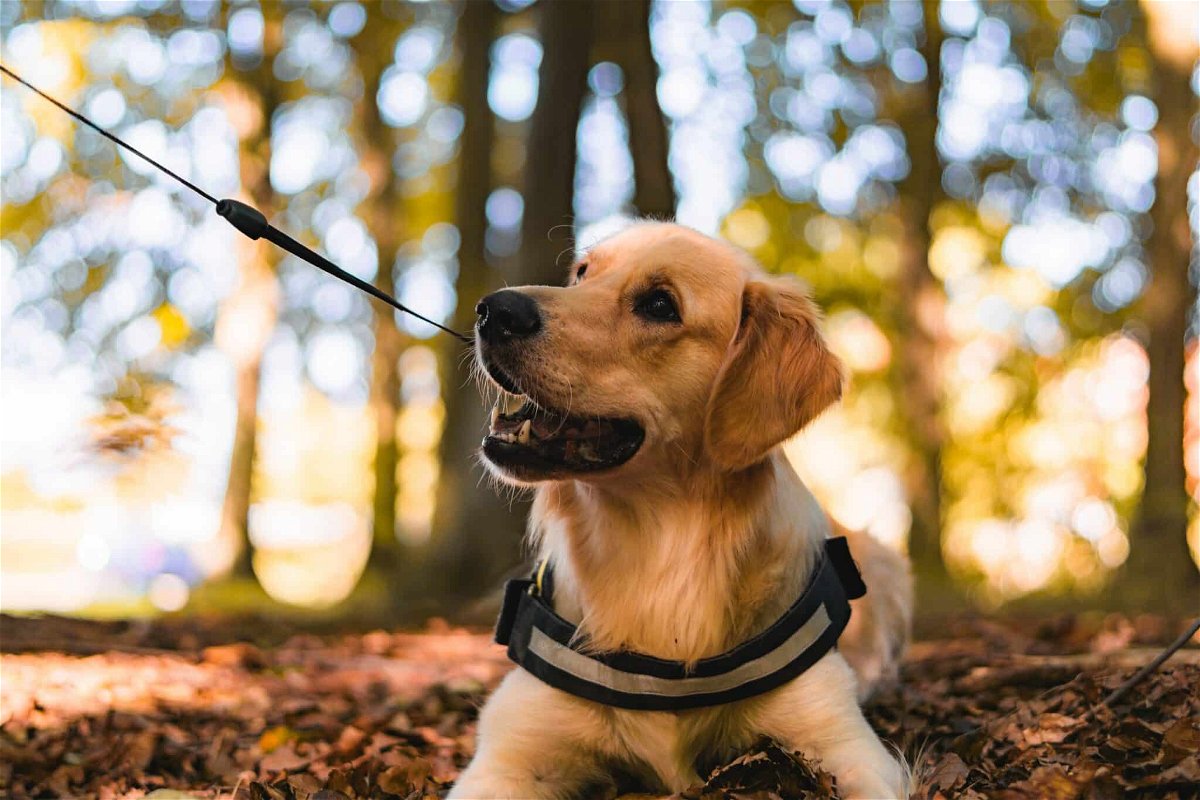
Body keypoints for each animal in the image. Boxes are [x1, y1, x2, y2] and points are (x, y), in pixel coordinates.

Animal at [453, 221, 912, 796]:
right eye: (582, 273)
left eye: (659, 304)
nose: (494, 310)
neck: (656, 555)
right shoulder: (509, 755)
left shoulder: (848, 744)